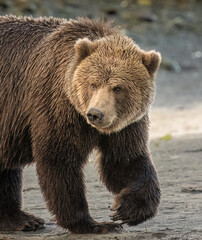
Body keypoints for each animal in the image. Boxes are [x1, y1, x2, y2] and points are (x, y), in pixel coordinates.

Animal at [0, 15, 161, 233]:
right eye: (93, 84)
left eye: (118, 88)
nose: (95, 114)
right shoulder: (58, 106)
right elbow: (60, 161)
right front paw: (93, 223)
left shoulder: (126, 125)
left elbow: (125, 160)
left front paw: (127, 209)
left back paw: (21, 219)